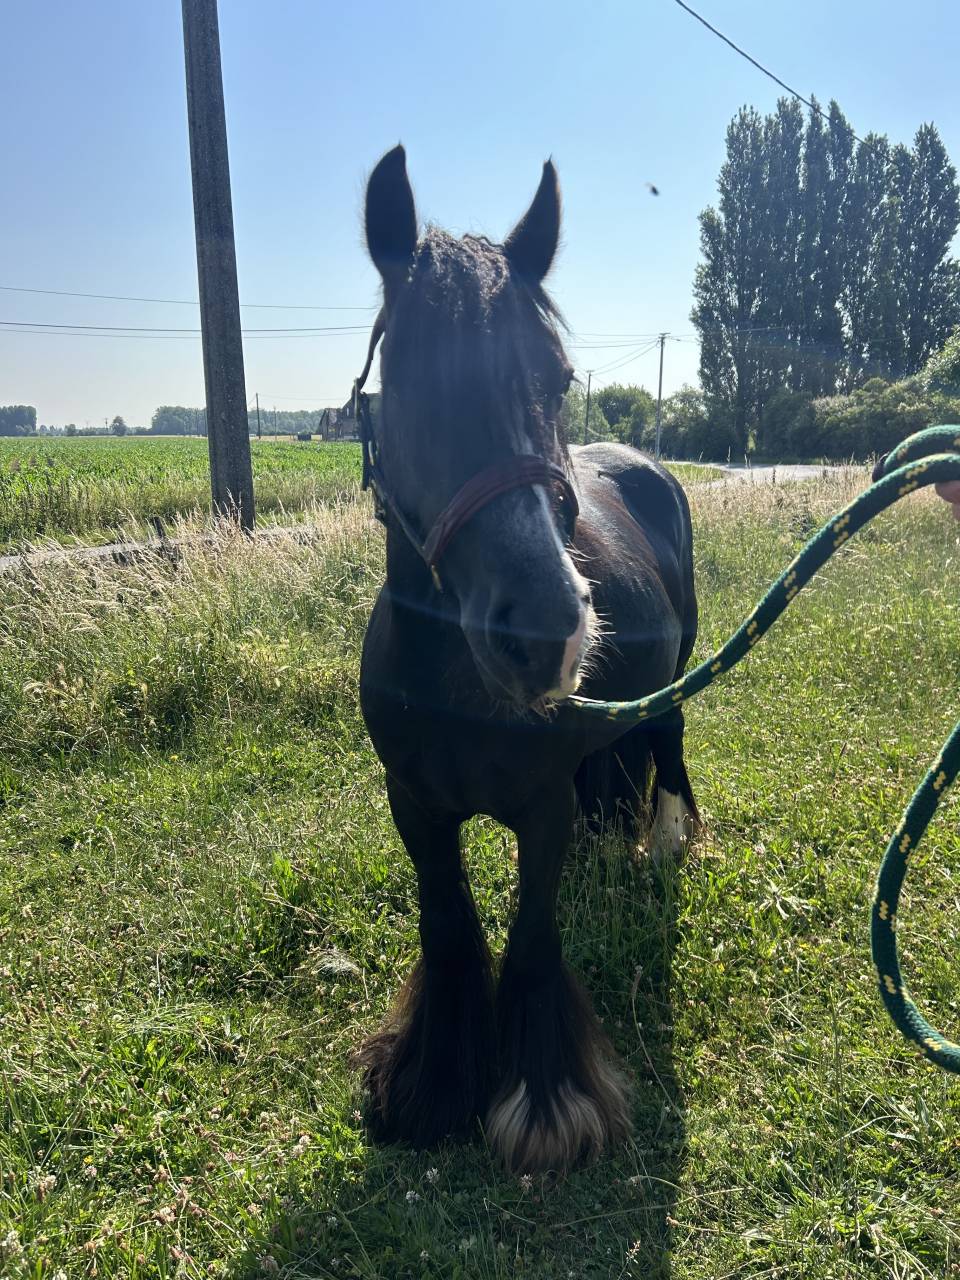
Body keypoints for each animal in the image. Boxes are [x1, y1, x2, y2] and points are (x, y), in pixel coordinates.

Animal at [356, 145, 699, 1174]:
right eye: (406, 377)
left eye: (556, 375)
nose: (548, 630)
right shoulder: (415, 806)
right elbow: (449, 925)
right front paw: (432, 1088)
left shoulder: (540, 808)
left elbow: (534, 935)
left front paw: (545, 1106)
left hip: (676, 683)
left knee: (668, 744)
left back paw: (663, 840)